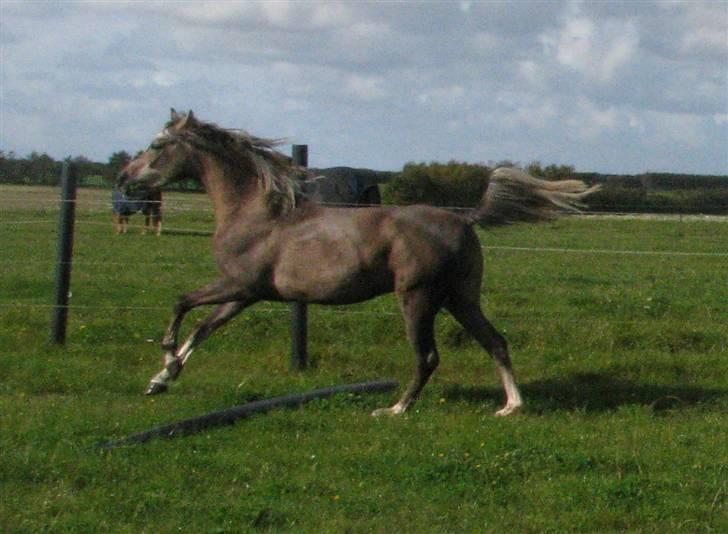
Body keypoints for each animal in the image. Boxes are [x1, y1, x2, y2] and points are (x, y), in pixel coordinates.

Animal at [118, 110, 596, 418]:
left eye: (157, 144)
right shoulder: (246, 294)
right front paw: (161, 379)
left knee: (428, 356)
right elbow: (202, 328)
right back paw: (510, 407)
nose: (125, 178)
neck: (257, 211)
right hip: (460, 298)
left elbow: (182, 304)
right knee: (495, 341)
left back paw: (395, 408)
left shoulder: (240, 285)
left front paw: (164, 365)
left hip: (417, 299)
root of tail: (463, 218)